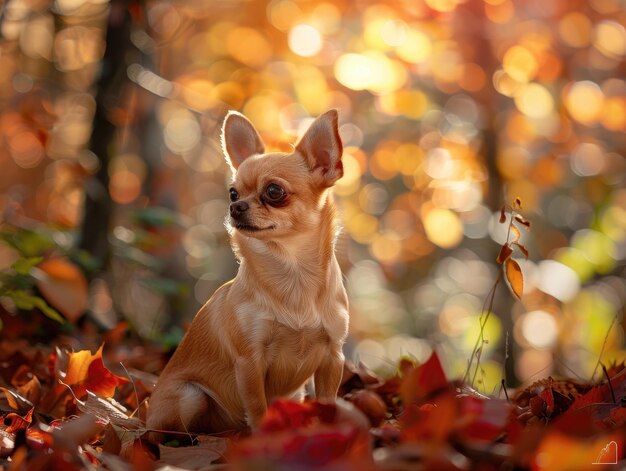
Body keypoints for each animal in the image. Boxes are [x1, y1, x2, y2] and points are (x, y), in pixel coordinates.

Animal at [147, 109, 352, 436]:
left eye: (274, 191)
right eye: (232, 193)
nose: (236, 207)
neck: (292, 273)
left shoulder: (333, 356)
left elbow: (327, 401)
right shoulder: (249, 362)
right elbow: (257, 407)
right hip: (189, 396)